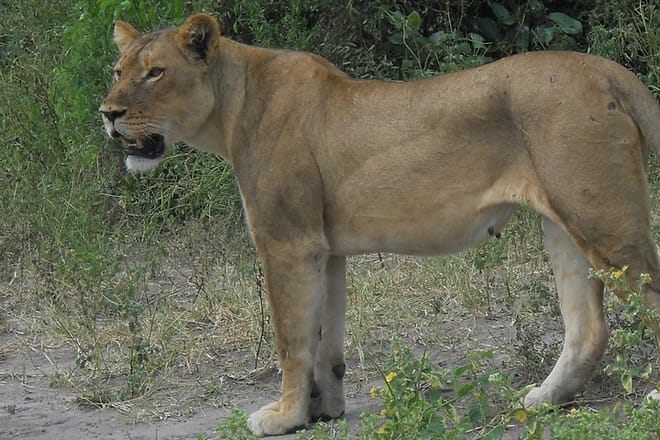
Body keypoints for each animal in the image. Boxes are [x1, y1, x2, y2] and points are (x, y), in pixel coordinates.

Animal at [100, 13, 660, 436]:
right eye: (117, 70)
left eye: (155, 73)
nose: (108, 113)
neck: (232, 104)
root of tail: (606, 69)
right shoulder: (324, 249)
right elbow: (325, 340)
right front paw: (323, 411)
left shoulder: (287, 242)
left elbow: (290, 340)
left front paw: (283, 418)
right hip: (565, 223)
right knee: (587, 327)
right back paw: (542, 399)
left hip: (603, 220)